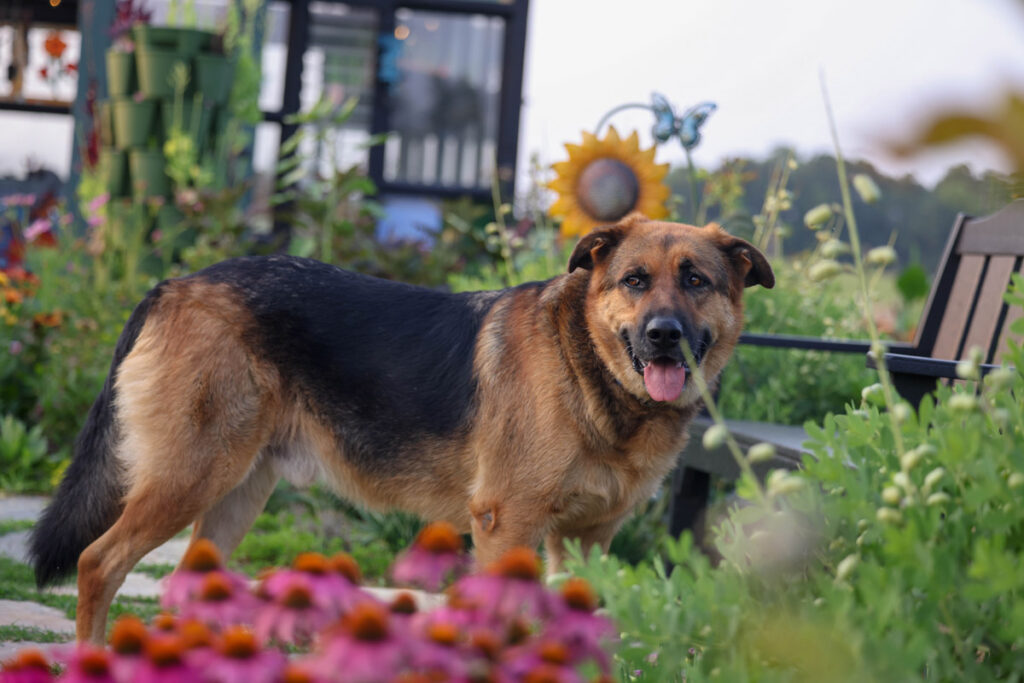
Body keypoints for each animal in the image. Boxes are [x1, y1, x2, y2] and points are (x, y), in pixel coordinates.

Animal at [28, 211, 770, 643]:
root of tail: (175, 284)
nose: (664, 336)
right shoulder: (506, 526)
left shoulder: (587, 541)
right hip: (191, 478)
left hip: (239, 490)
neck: (587, 366)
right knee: (98, 562)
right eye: (635, 280)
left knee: (185, 583)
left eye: (696, 281)